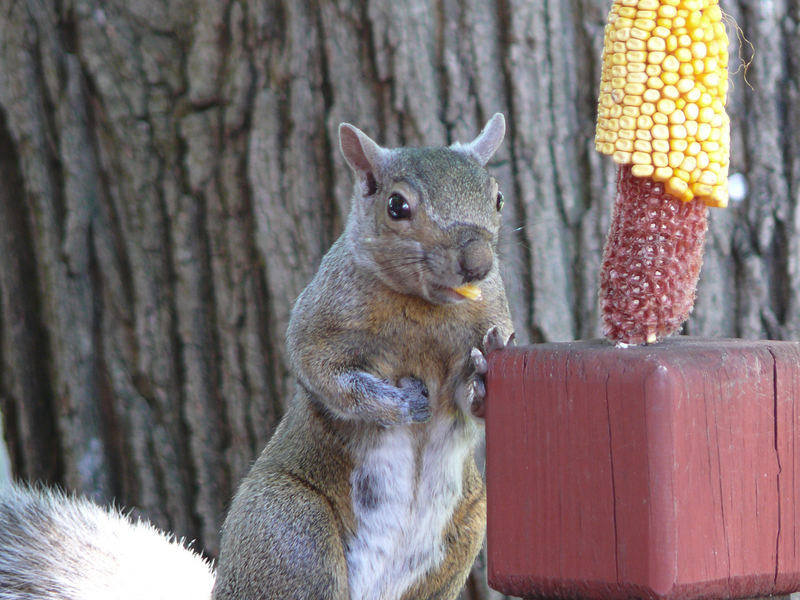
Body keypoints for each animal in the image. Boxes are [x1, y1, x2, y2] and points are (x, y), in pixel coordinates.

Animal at [0, 113, 512, 600]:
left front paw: (484, 376)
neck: (423, 311)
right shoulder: (319, 322)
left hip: (464, 534)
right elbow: (328, 379)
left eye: (498, 198)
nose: (478, 264)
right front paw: (400, 403)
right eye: (397, 206)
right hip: (289, 531)